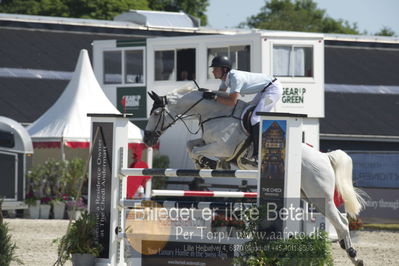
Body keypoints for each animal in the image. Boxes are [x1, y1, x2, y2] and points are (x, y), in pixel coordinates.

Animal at [145, 85, 366, 266]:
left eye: (156, 113)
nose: (147, 140)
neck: (215, 114)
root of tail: (324, 157)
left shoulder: (222, 147)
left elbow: (196, 150)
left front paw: (206, 162)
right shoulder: (209, 142)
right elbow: (191, 145)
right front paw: (208, 163)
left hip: (320, 196)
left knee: (341, 222)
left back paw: (354, 255)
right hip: (308, 195)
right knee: (339, 221)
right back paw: (349, 252)